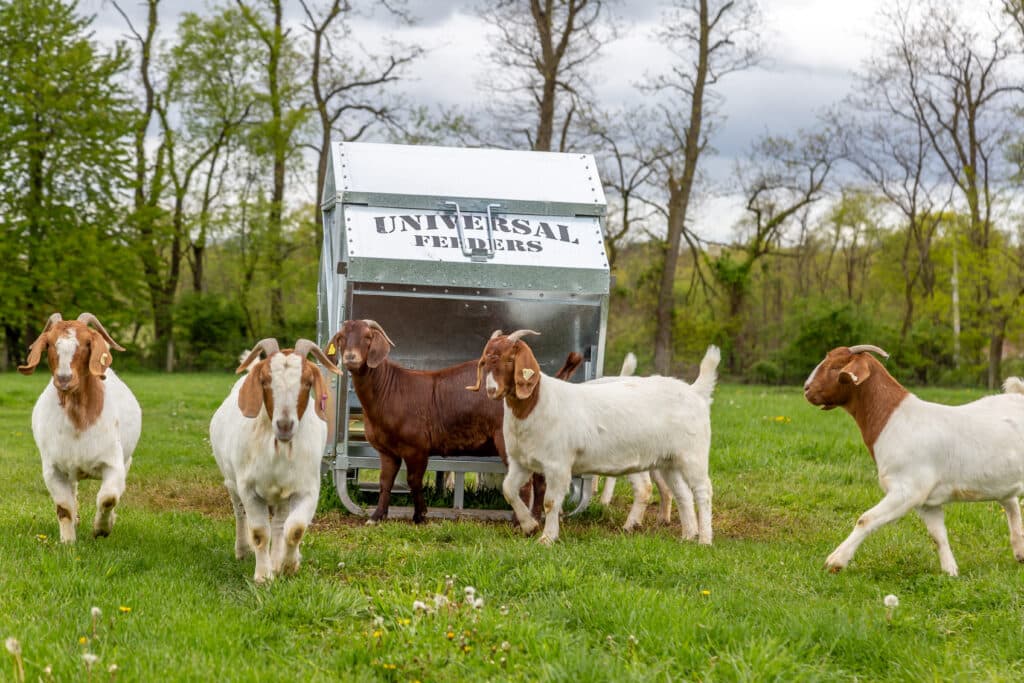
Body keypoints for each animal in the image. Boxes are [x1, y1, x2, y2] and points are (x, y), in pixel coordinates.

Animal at [18, 313, 142, 540]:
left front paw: (102, 528)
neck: (79, 422)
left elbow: (109, 498)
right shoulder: (53, 469)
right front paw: (68, 541)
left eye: (86, 343)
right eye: (49, 343)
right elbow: (64, 507)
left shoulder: (113, 463)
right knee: (73, 491)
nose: (64, 379)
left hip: (127, 460)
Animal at [209, 335, 342, 581]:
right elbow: (260, 532)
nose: (284, 425)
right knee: (240, 514)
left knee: (280, 524)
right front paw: (263, 576)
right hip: (231, 482)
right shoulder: (248, 488)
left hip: (282, 496)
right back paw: (243, 550)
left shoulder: (307, 489)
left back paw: (278, 558)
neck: (280, 448)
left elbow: (295, 529)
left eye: (307, 382)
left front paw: (287, 565)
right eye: (265, 381)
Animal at [329, 321, 585, 524]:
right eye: (341, 338)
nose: (351, 358)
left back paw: (520, 521)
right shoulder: (387, 450)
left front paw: (420, 516)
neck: (389, 390)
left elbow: (414, 481)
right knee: (540, 481)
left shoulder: (416, 447)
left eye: (368, 337)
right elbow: (385, 482)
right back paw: (536, 518)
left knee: (526, 482)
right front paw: (376, 517)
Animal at [468, 329, 716, 544]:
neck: (537, 404)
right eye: (485, 360)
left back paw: (704, 540)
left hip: (692, 455)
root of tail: (695, 392)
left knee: (703, 491)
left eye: (510, 359)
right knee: (682, 493)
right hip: (669, 461)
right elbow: (509, 489)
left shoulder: (558, 465)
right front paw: (529, 525)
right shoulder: (521, 462)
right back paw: (688, 535)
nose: (491, 390)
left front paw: (547, 538)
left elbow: (550, 502)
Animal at [802, 344, 1024, 573]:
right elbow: (938, 535)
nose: (807, 389)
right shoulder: (927, 502)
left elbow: (866, 519)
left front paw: (836, 560)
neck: (893, 420)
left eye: (836, 367)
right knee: (1011, 503)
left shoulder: (907, 490)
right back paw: (1020, 552)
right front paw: (950, 571)